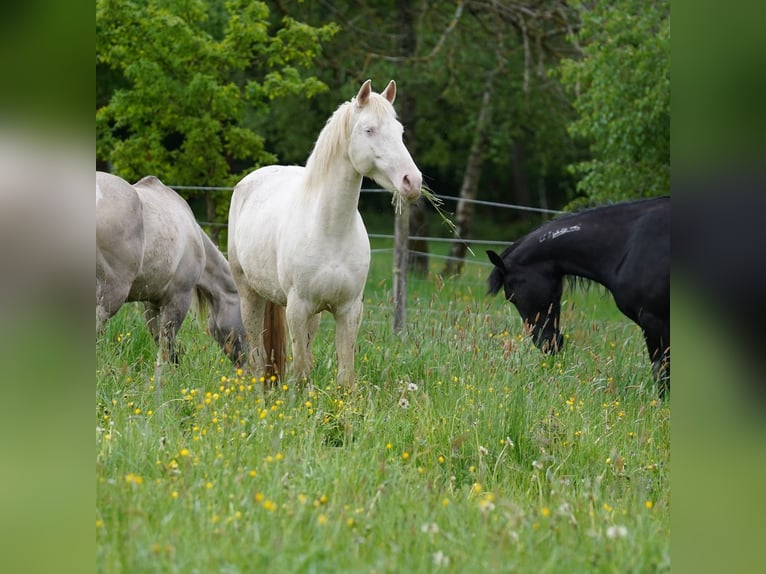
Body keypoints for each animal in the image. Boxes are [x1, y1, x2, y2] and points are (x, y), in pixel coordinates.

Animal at [96, 172, 246, 366]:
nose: (246, 362)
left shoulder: (151, 303)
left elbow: (162, 342)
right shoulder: (179, 298)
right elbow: (166, 349)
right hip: (111, 296)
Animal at [228, 79, 422, 388]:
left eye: (400, 131)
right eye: (369, 130)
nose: (412, 181)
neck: (331, 230)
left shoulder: (349, 310)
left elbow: (344, 375)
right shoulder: (297, 308)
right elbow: (301, 370)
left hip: (312, 313)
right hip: (250, 294)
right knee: (257, 353)